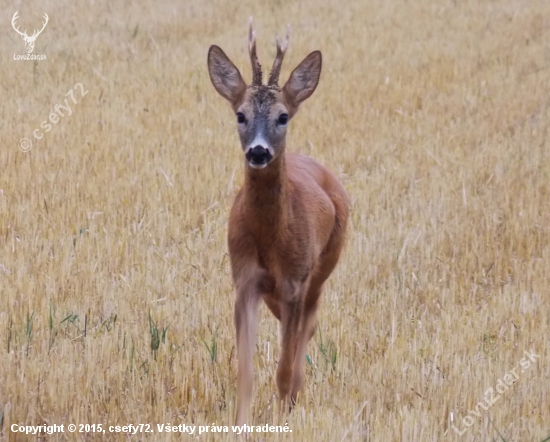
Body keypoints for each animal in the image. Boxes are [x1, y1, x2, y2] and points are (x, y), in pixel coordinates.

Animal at [207, 20, 350, 424]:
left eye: (282, 117)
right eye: (240, 115)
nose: (258, 151)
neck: (270, 241)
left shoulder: (295, 282)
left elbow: (284, 365)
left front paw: (282, 417)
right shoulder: (244, 279)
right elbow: (245, 370)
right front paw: (241, 422)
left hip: (323, 268)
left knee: (308, 328)